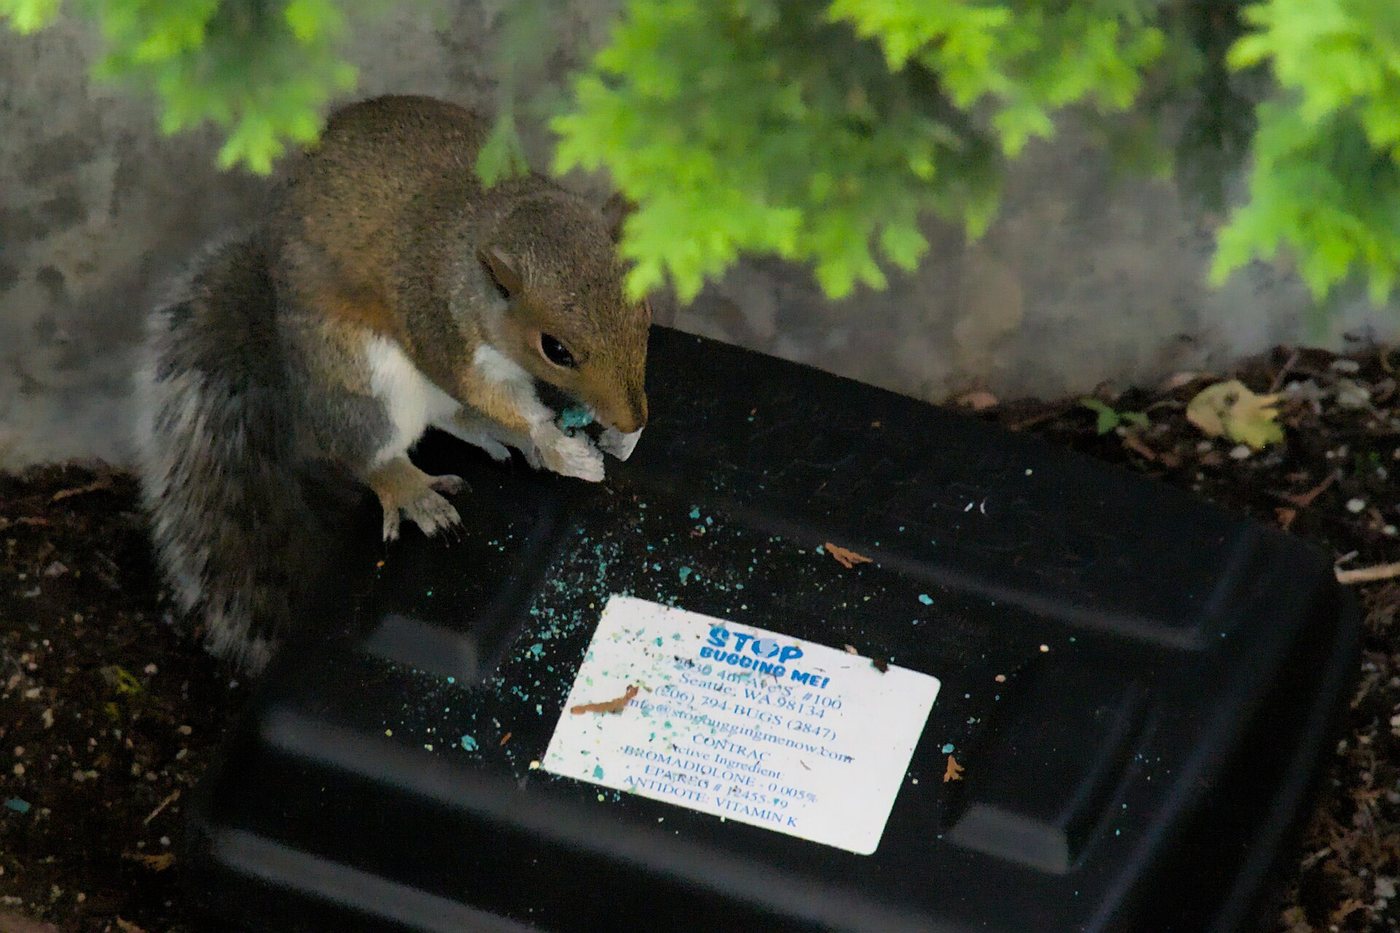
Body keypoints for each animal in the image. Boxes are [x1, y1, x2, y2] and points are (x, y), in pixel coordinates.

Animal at [134, 95, 651, 673]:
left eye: (646, 309)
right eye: (555, 349)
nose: (633, 417)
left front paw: (614, 437)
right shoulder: (441, 331)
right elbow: (491, 394)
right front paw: (559, 446)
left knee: (453, 417)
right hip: (366, 379)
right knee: (368, 452)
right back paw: (413, 490)